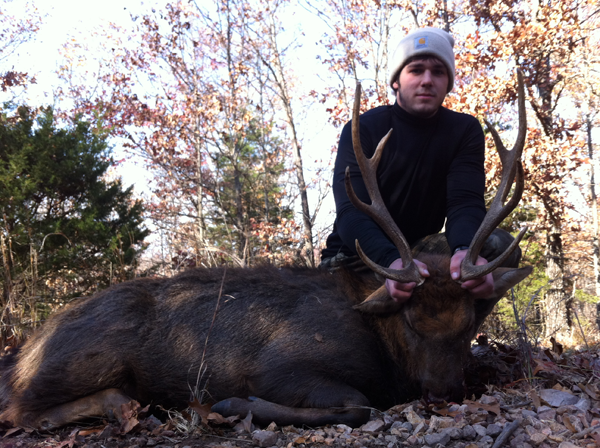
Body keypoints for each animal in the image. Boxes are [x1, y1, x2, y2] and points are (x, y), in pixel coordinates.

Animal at [0, 73, 532, 430]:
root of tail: (29, 348)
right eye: (411, 322)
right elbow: (358, 404)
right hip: (89, 357)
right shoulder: (279, 363)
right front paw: (232, 405)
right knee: (22, 409)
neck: (384, 347)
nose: (441, 393)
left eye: (469, 324)